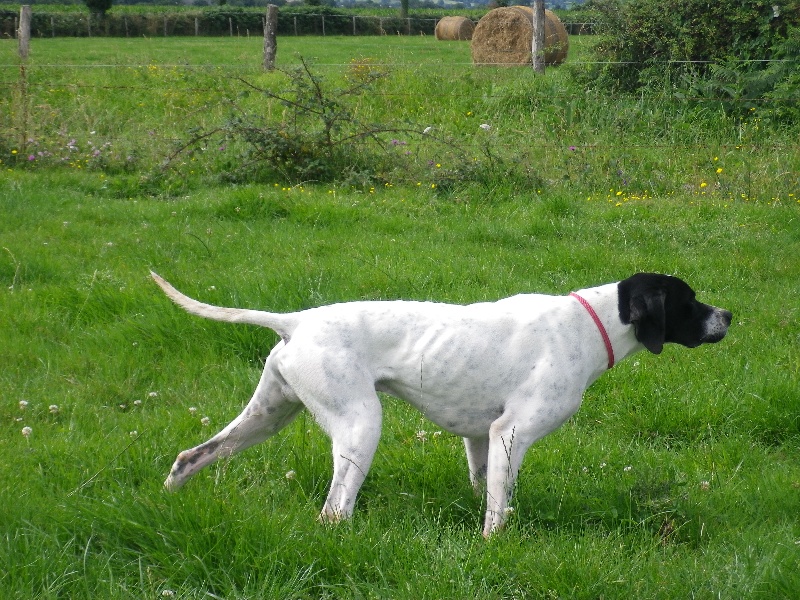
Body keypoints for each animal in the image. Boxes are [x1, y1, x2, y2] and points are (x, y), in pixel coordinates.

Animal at [152, 272, 732, 536]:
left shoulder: (482, 438)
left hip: (267, 417)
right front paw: (495, 544)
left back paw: (169, 500)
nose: (728, 315)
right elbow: (498, 511)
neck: (591, 324)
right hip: (361, 425)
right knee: (335, 510)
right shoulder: (511, 433)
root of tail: (296, 321)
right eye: (689, 300)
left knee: (191, 457)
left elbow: (486, 488)